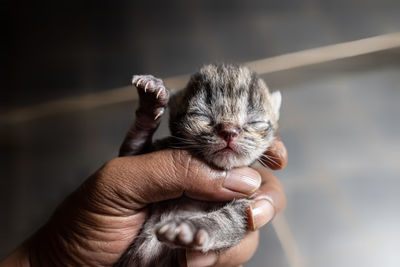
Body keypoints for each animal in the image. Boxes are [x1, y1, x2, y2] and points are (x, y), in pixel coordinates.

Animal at [114, 63, 282, 266]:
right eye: (202, 116)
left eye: (255, 122)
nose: (229, 132)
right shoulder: (134, 155)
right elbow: (133, 147)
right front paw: (150, 101)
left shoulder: (247, 206)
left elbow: (229, 220)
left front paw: (191, 227)